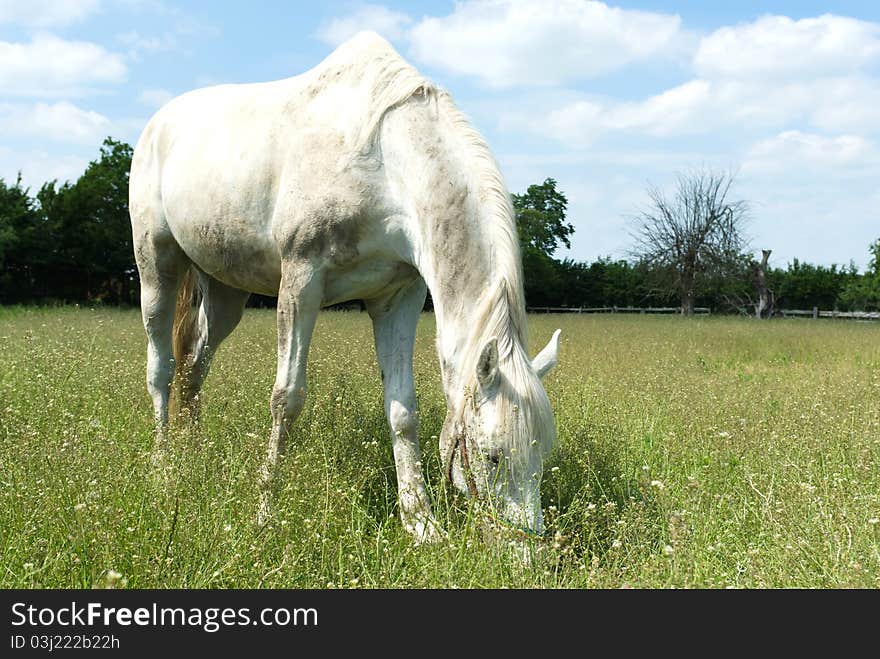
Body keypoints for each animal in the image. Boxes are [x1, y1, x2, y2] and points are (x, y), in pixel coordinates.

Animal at [127, 32, 560, 540]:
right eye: (492, 456)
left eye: (542, 455)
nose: (523, 551)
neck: (386, 166)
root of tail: (159, 123)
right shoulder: (301, 282)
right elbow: (287, 399)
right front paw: (265, 512)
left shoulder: (398, 298)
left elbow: (403, 410)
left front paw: (420, 522)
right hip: (157, 266)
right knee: (162, 369)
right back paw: (164, 469)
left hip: (224, 292)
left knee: (194, 368)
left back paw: (192, 458)